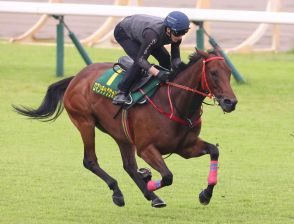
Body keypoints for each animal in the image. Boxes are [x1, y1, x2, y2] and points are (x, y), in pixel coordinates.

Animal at [14, 49, 239, 208]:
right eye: (213, 73)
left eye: (229, 73)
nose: (231, 102)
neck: (175, 104)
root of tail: (77, 76)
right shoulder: (146, 148)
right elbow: (167, 176)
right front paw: (149, 179)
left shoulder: (186, 147)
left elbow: (214, 151)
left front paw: (205, 194)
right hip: (85, 122)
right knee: (90, 161)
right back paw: (119, 192)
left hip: (121, 134)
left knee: (129, 166)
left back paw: (152, 195)